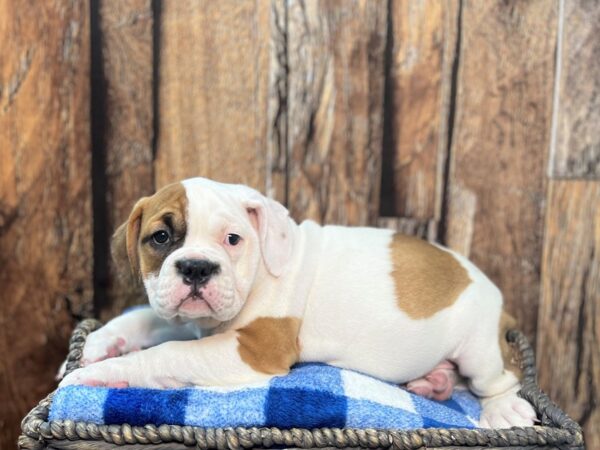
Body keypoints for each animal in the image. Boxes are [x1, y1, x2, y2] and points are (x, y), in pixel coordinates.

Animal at [61, 178, 536, 428]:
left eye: (232, 239)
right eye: (160, 237)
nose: (196, 268)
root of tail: (500, 302)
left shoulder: (252, 348)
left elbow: (168, 353)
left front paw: (103, 374)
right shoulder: (190, 316)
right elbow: (146, 318)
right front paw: (103, 342)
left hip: (479, 350)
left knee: (500, 378)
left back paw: (503, 407)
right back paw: (434, 382)